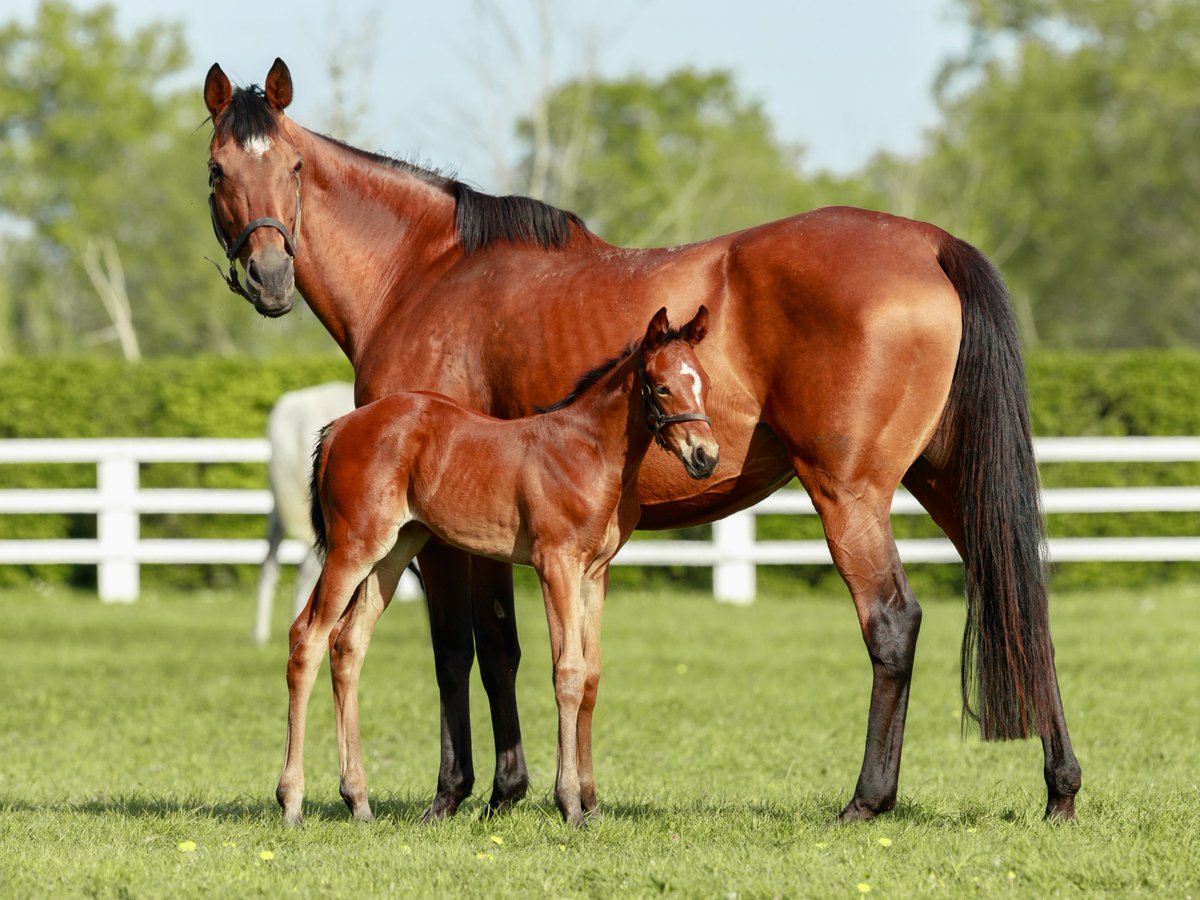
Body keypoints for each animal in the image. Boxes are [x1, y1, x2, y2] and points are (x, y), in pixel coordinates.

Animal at [278, 307, 710, 830]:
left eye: (705, 382)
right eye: (662, 387)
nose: (706, 457)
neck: (588, 453)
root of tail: (340, 426)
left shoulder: (595, 574)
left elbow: (590, 677)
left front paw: (591, 804)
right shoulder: (555, 564)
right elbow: (567, 673)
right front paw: (569, 804)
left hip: (395, 552)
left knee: (347, 644)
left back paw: (358, 802)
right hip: (353, 548)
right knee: (307, 639)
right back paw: (291, 803)